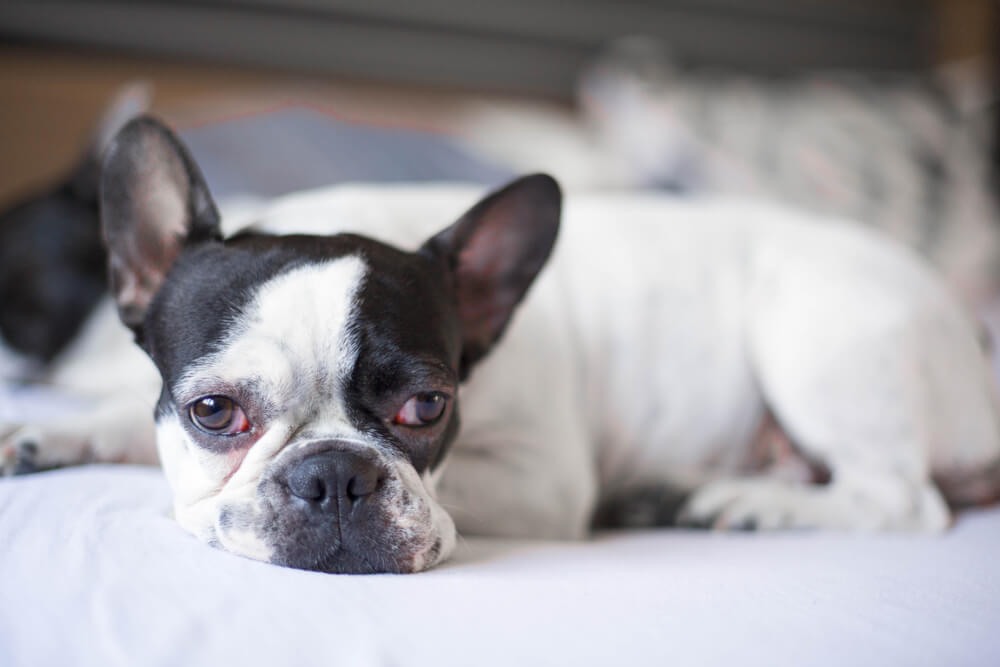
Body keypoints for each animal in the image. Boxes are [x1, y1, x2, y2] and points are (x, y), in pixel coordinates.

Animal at [1, 116, 1000, 576]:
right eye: (213, 411)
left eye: (427, 406)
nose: (333, 476)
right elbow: (125, 420)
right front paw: (49, 431)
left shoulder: (544, 481)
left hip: (811, 331)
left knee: (898, 498)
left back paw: (745, 503)